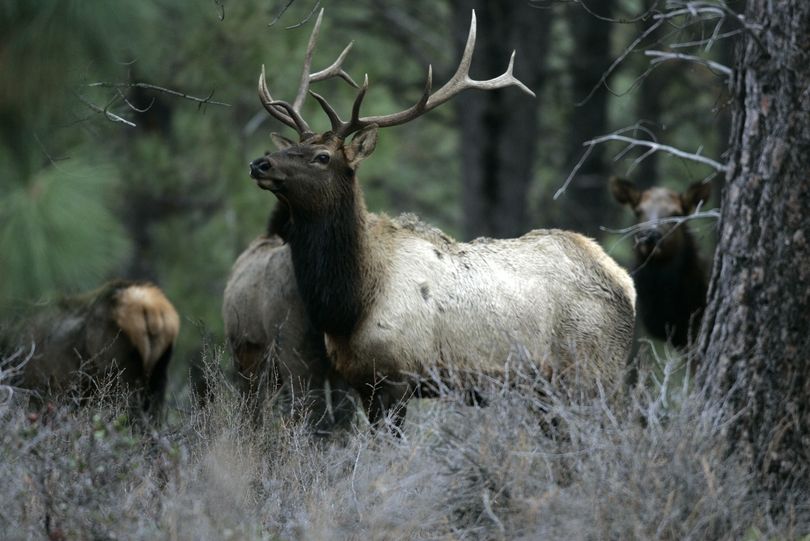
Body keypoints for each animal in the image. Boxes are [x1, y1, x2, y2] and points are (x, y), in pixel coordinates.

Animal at [243, 10, 636, 426]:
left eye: (322, 157)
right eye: (295, 146)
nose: (260, 163)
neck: (348, 305)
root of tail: (625, 282)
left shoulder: (398, 379)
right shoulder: (362, 384)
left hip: (594, 373)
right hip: (551, 392)